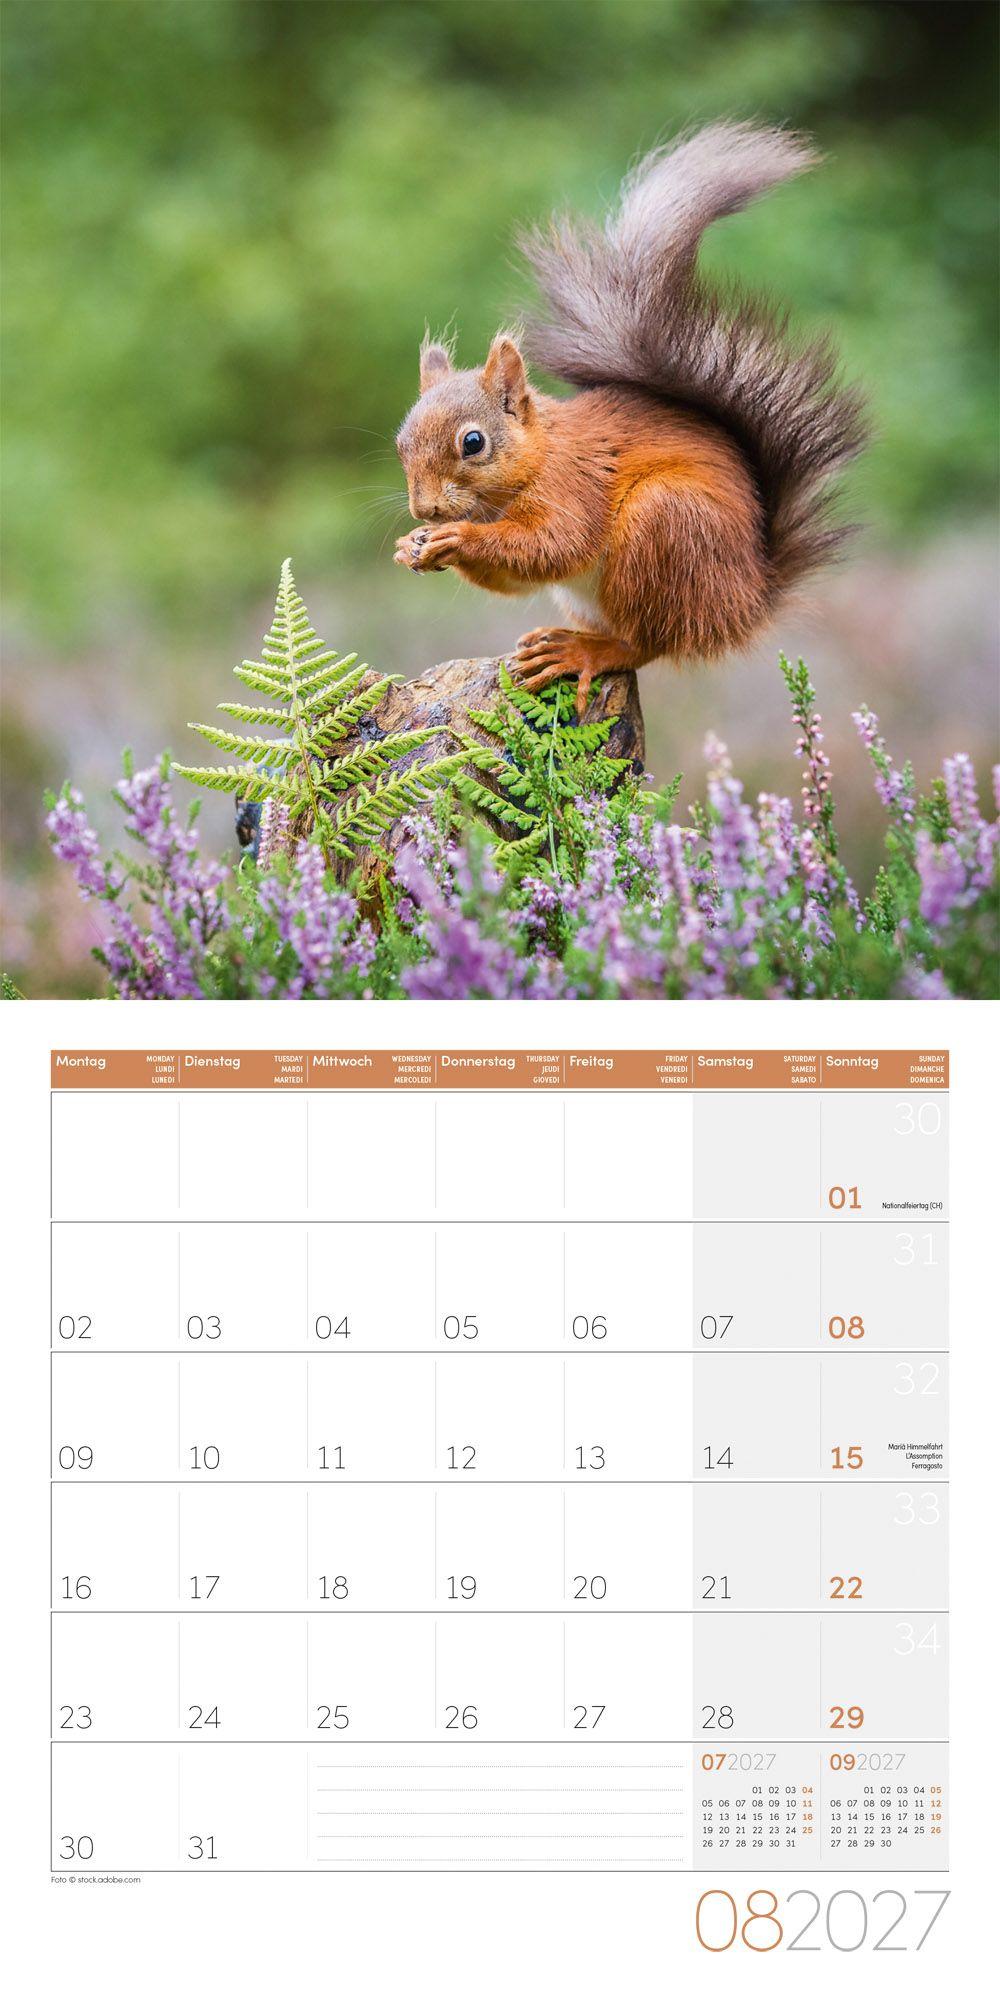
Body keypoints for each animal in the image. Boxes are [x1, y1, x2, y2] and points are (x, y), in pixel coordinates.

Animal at [393, 121, 867, 717]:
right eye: (400, 443)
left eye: (473, 443)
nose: (425, 508)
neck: (533, 460)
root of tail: (746, 601)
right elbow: (516, 579)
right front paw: (410, 544)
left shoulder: (572, 486)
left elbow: (554, 543)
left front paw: (455, 537)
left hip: (664, 527)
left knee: (645, 644)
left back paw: (584, 652)